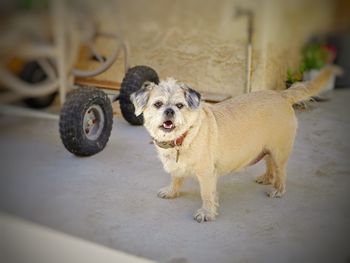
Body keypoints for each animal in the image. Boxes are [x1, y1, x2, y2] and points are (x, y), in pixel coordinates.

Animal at [131, 67, 340, 224]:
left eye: (180, 106)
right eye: (158, 104)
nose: (169, 111)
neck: (182, 137)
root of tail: (282, 95)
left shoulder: (207, 174)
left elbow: (206, 194)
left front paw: (207, 212)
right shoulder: (177, 167)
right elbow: (175, 178)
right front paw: (171, 192)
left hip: (279, 151)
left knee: (281, 172)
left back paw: (278, 190)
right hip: (266, 147)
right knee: (269, 164)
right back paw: (266, 178)